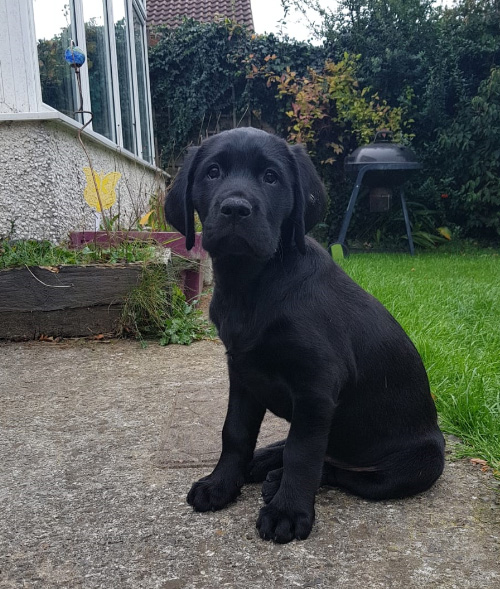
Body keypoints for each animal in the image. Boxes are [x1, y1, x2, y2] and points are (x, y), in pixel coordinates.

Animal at [165, 127, 446, 544]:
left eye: (271, 177)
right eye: (212, 172)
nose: (235, 209)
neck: (252, 283)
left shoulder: (316, 388)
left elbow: (303, 453)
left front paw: (287, 511)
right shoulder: (243, 375)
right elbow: (235, 433)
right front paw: (221, 484)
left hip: (419, 466)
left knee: (339, 469)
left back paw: (276, 477)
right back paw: (263, 462)